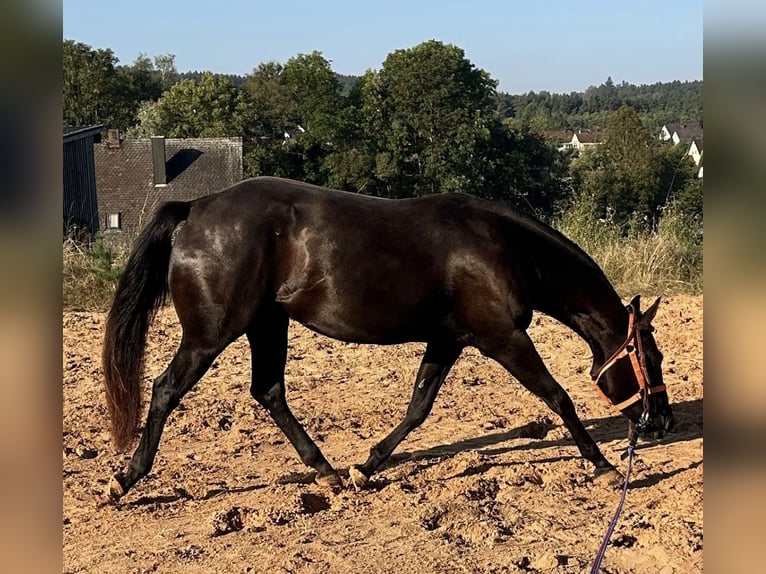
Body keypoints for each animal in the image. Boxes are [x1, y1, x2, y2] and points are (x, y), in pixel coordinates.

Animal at [100, 174, 672, 500]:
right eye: (653, 356)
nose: (662, 421)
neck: (503, 246)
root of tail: (194, 209)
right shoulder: (501, 337)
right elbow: (558, 397)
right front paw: (601, 465)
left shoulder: (450, 339)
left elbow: (418, 407)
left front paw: (366, 467)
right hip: (211, 334)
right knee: (166, 390)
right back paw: (126, 478)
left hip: (267, 324)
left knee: (268, 391)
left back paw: (326, 471)